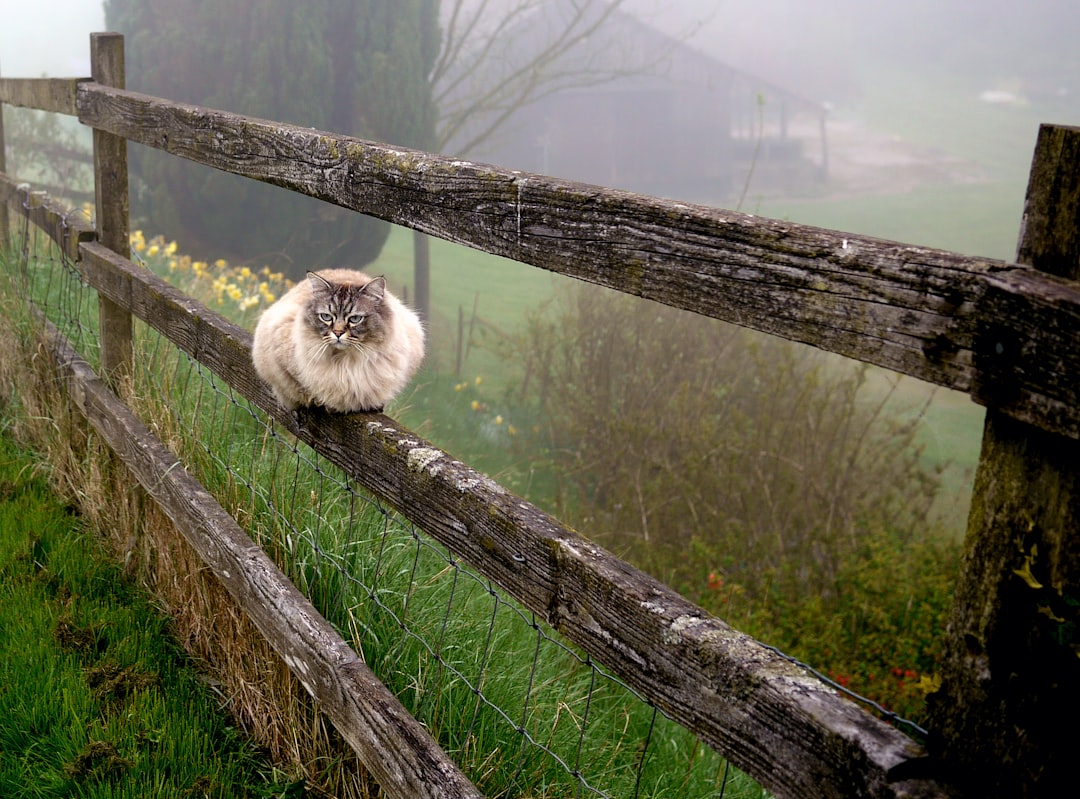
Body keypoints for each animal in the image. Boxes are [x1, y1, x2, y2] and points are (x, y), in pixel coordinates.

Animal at [250, 271, 423, 414]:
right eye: (326, 317)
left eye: (355, 319)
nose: (338, 333)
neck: (345, 362)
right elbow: (306, 389)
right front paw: (324, 403)